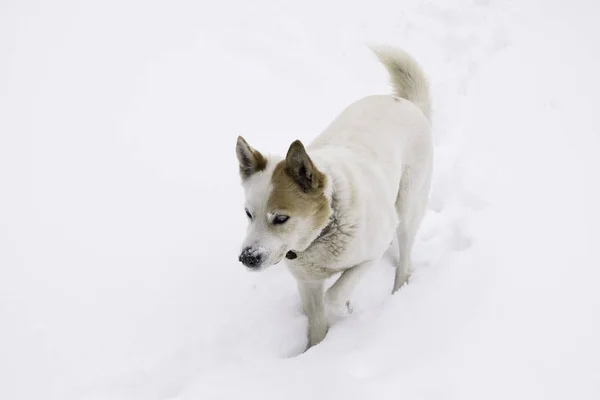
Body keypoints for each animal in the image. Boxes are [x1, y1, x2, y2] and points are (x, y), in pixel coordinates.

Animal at [234, 44, 432, 350]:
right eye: (248, 214)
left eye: (280, 218)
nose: (247, 258)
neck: (326, 227)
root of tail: (405, 102)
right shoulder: (307, 282)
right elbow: (316, 323)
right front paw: (314, 350)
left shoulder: (367, 259)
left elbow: (334, 296)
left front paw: (344, 310)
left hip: (409, 206)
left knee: (405, 256)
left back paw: (399, 288)